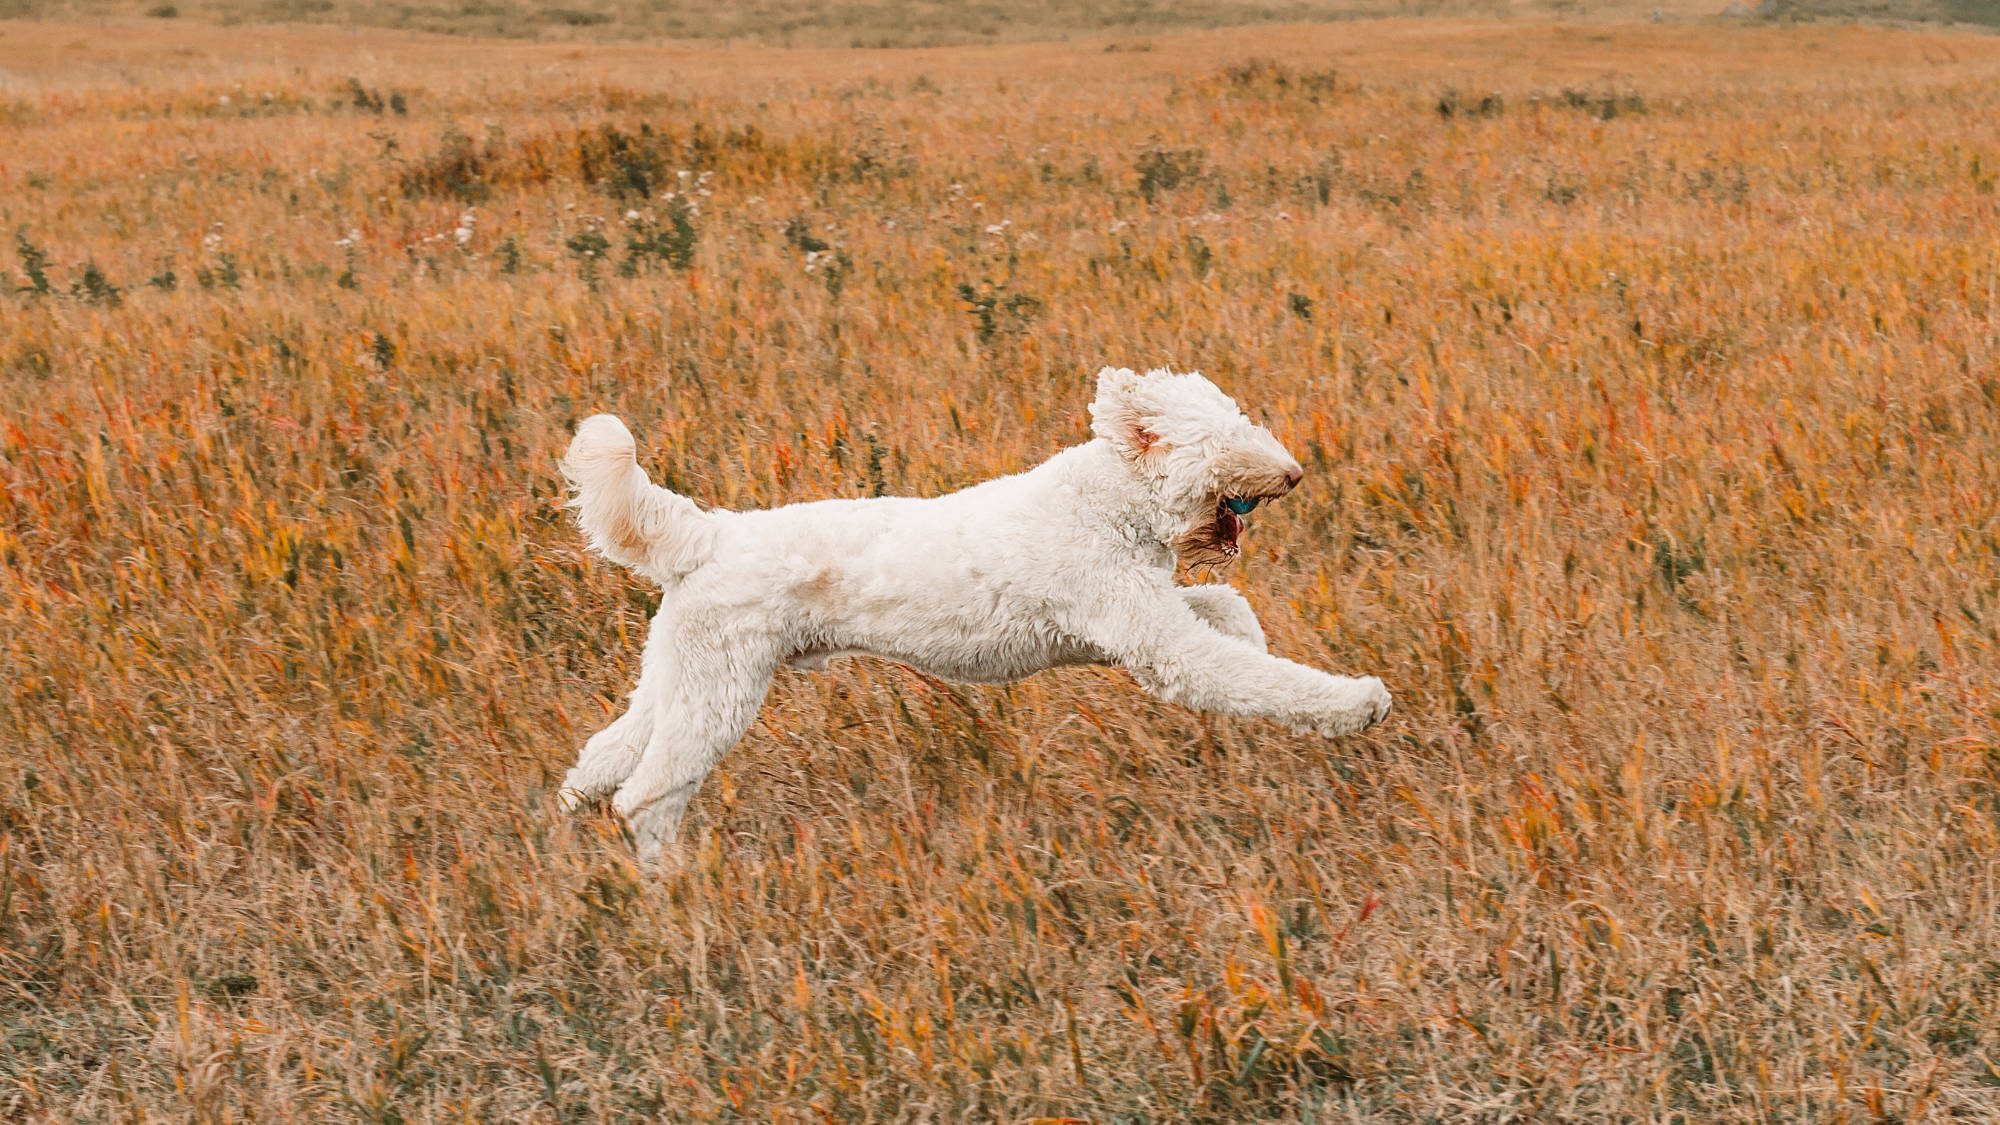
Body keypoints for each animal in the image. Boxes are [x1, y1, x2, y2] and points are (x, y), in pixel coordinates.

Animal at [564, 366, 1392, 856]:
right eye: (1222, 436)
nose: (1294, 471)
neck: (1106, 500)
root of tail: (708, 532)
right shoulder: (1156, 645)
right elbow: (1257, 677)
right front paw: (1359, 703)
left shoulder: (1138, 618)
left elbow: (1227, 606)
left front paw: (1255, 636)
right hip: (720, 692)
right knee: (645, 794)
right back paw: (666, 884)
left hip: (679, 676)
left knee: (605, 754)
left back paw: (569, 824)